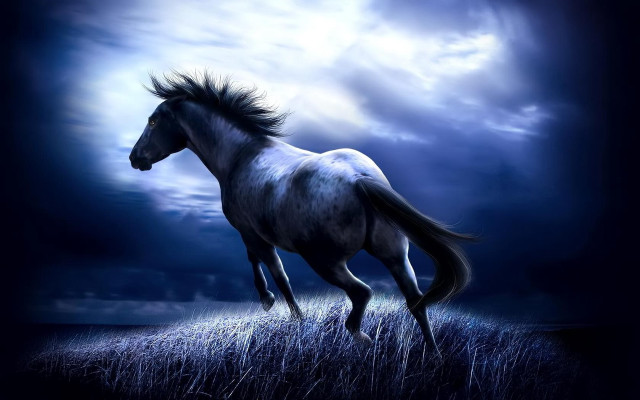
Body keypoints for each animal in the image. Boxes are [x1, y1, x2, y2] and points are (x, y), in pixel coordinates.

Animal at [129, 71, 473, 351]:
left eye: (153, 121)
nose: (135, 158)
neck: (241, 154)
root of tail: (361, 180)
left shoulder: (251, 233)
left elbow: (275, 272)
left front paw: (281, 309)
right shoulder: (254, 234)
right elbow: (265, 265)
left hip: (324, 261)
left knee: (362, 293)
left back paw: (361, 337)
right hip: (396, 256)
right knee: (416, 302)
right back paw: (433, 355)